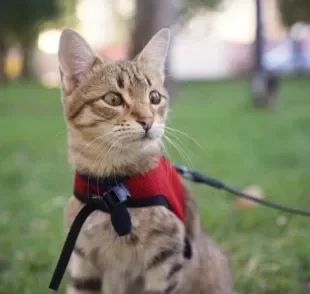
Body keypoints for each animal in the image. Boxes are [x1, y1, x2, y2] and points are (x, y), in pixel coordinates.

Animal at [58, 27, 232, 294]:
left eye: (155, 97)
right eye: (113, 99)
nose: (148, 121)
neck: (114, 191)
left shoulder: (167, 258)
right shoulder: (82, 258)